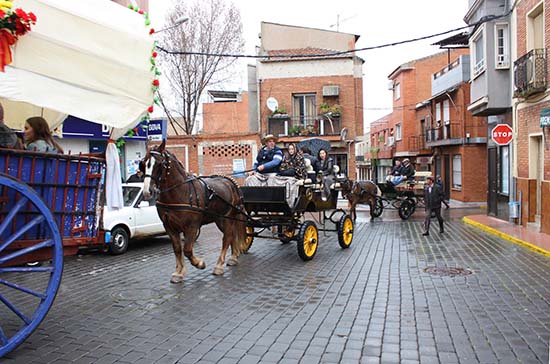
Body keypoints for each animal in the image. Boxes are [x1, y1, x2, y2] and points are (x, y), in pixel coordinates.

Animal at [142, 141, 248, 282]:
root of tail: (231, 182)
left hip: (227, 218)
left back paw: (219, 265)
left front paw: (199, 263)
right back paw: (234, 257)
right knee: (232, 236)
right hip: (221, 220)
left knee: (227, 238)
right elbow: (177, 248)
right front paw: (179, 272)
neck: (181, 192)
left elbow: (187, 249)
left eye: (159, 163)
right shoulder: (169, 227)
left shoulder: (192, 227)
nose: (147, 191)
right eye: (143, 163)